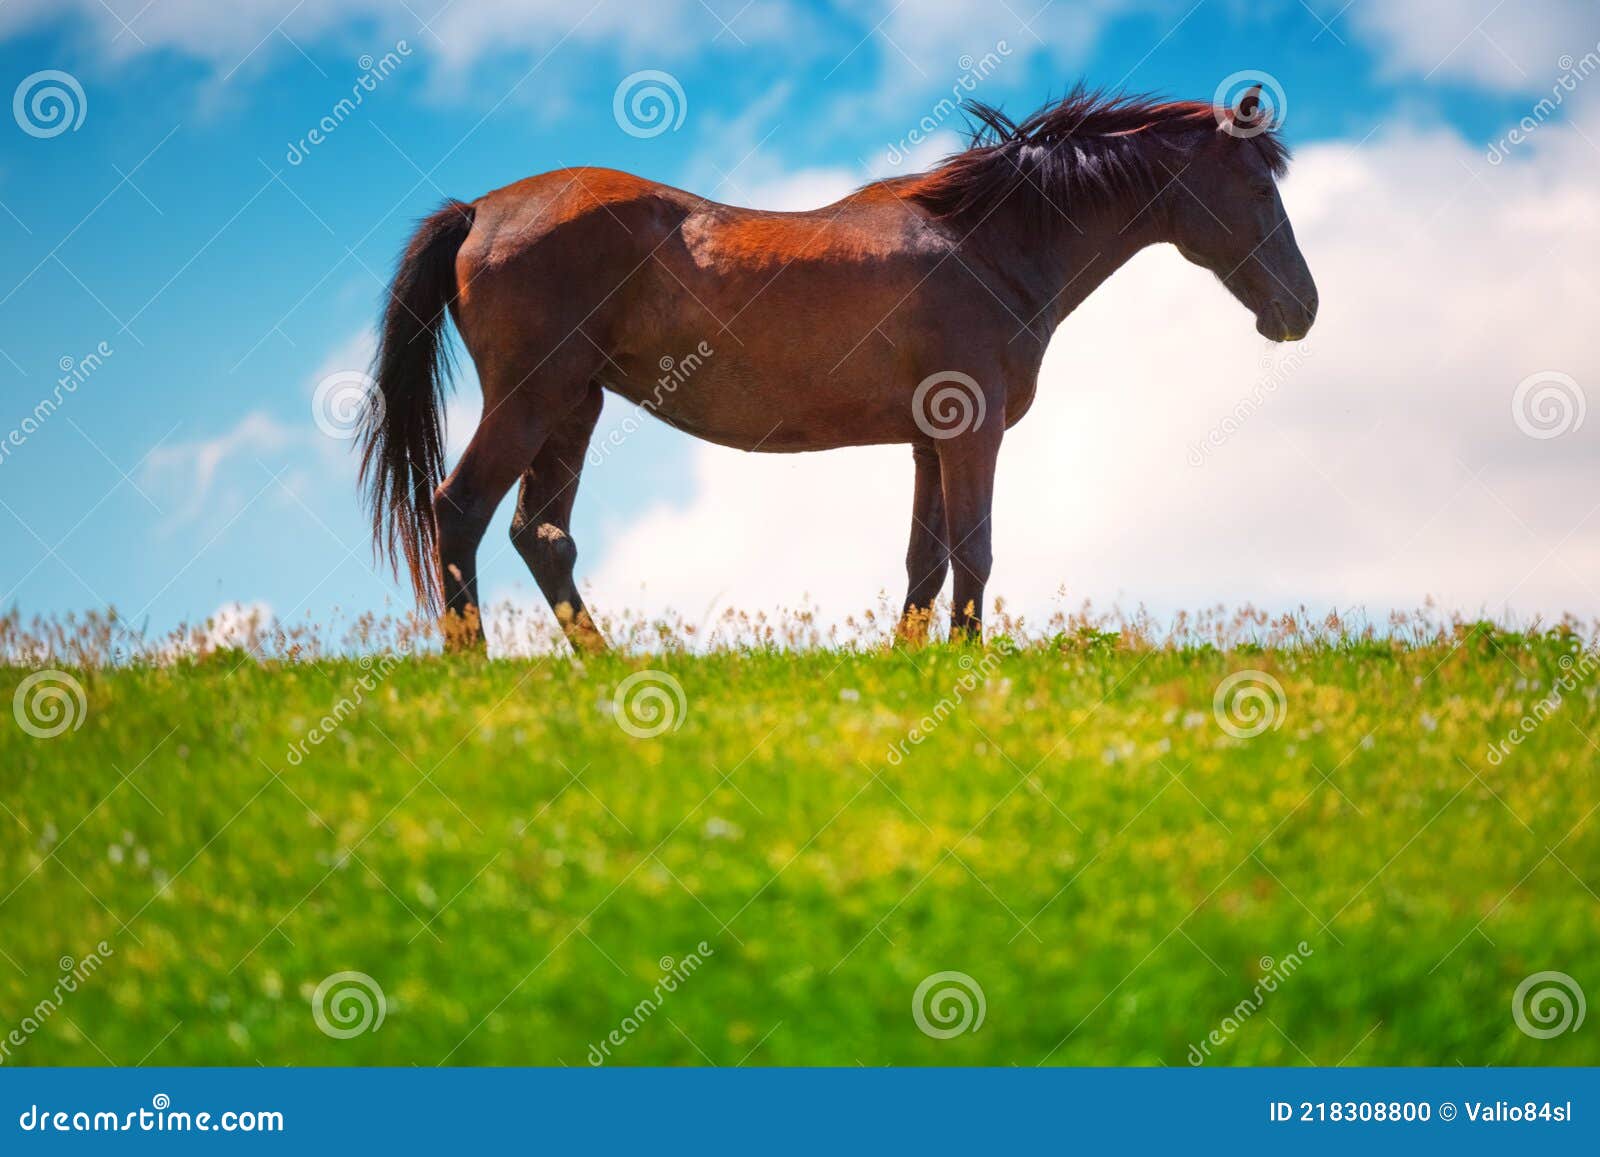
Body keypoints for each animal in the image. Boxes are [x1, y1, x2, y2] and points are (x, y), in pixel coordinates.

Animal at [358, 85, 1317, 653]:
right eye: (1259, 187)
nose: (1301, 309)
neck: (984, 244)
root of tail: (480, 208)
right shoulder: (972, 434)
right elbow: (975, 551)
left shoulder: (930, 442)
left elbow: (925, 561)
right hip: (532, 401)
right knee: (461, 510)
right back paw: (478, 667)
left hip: (573, 407)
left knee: (541, 535)